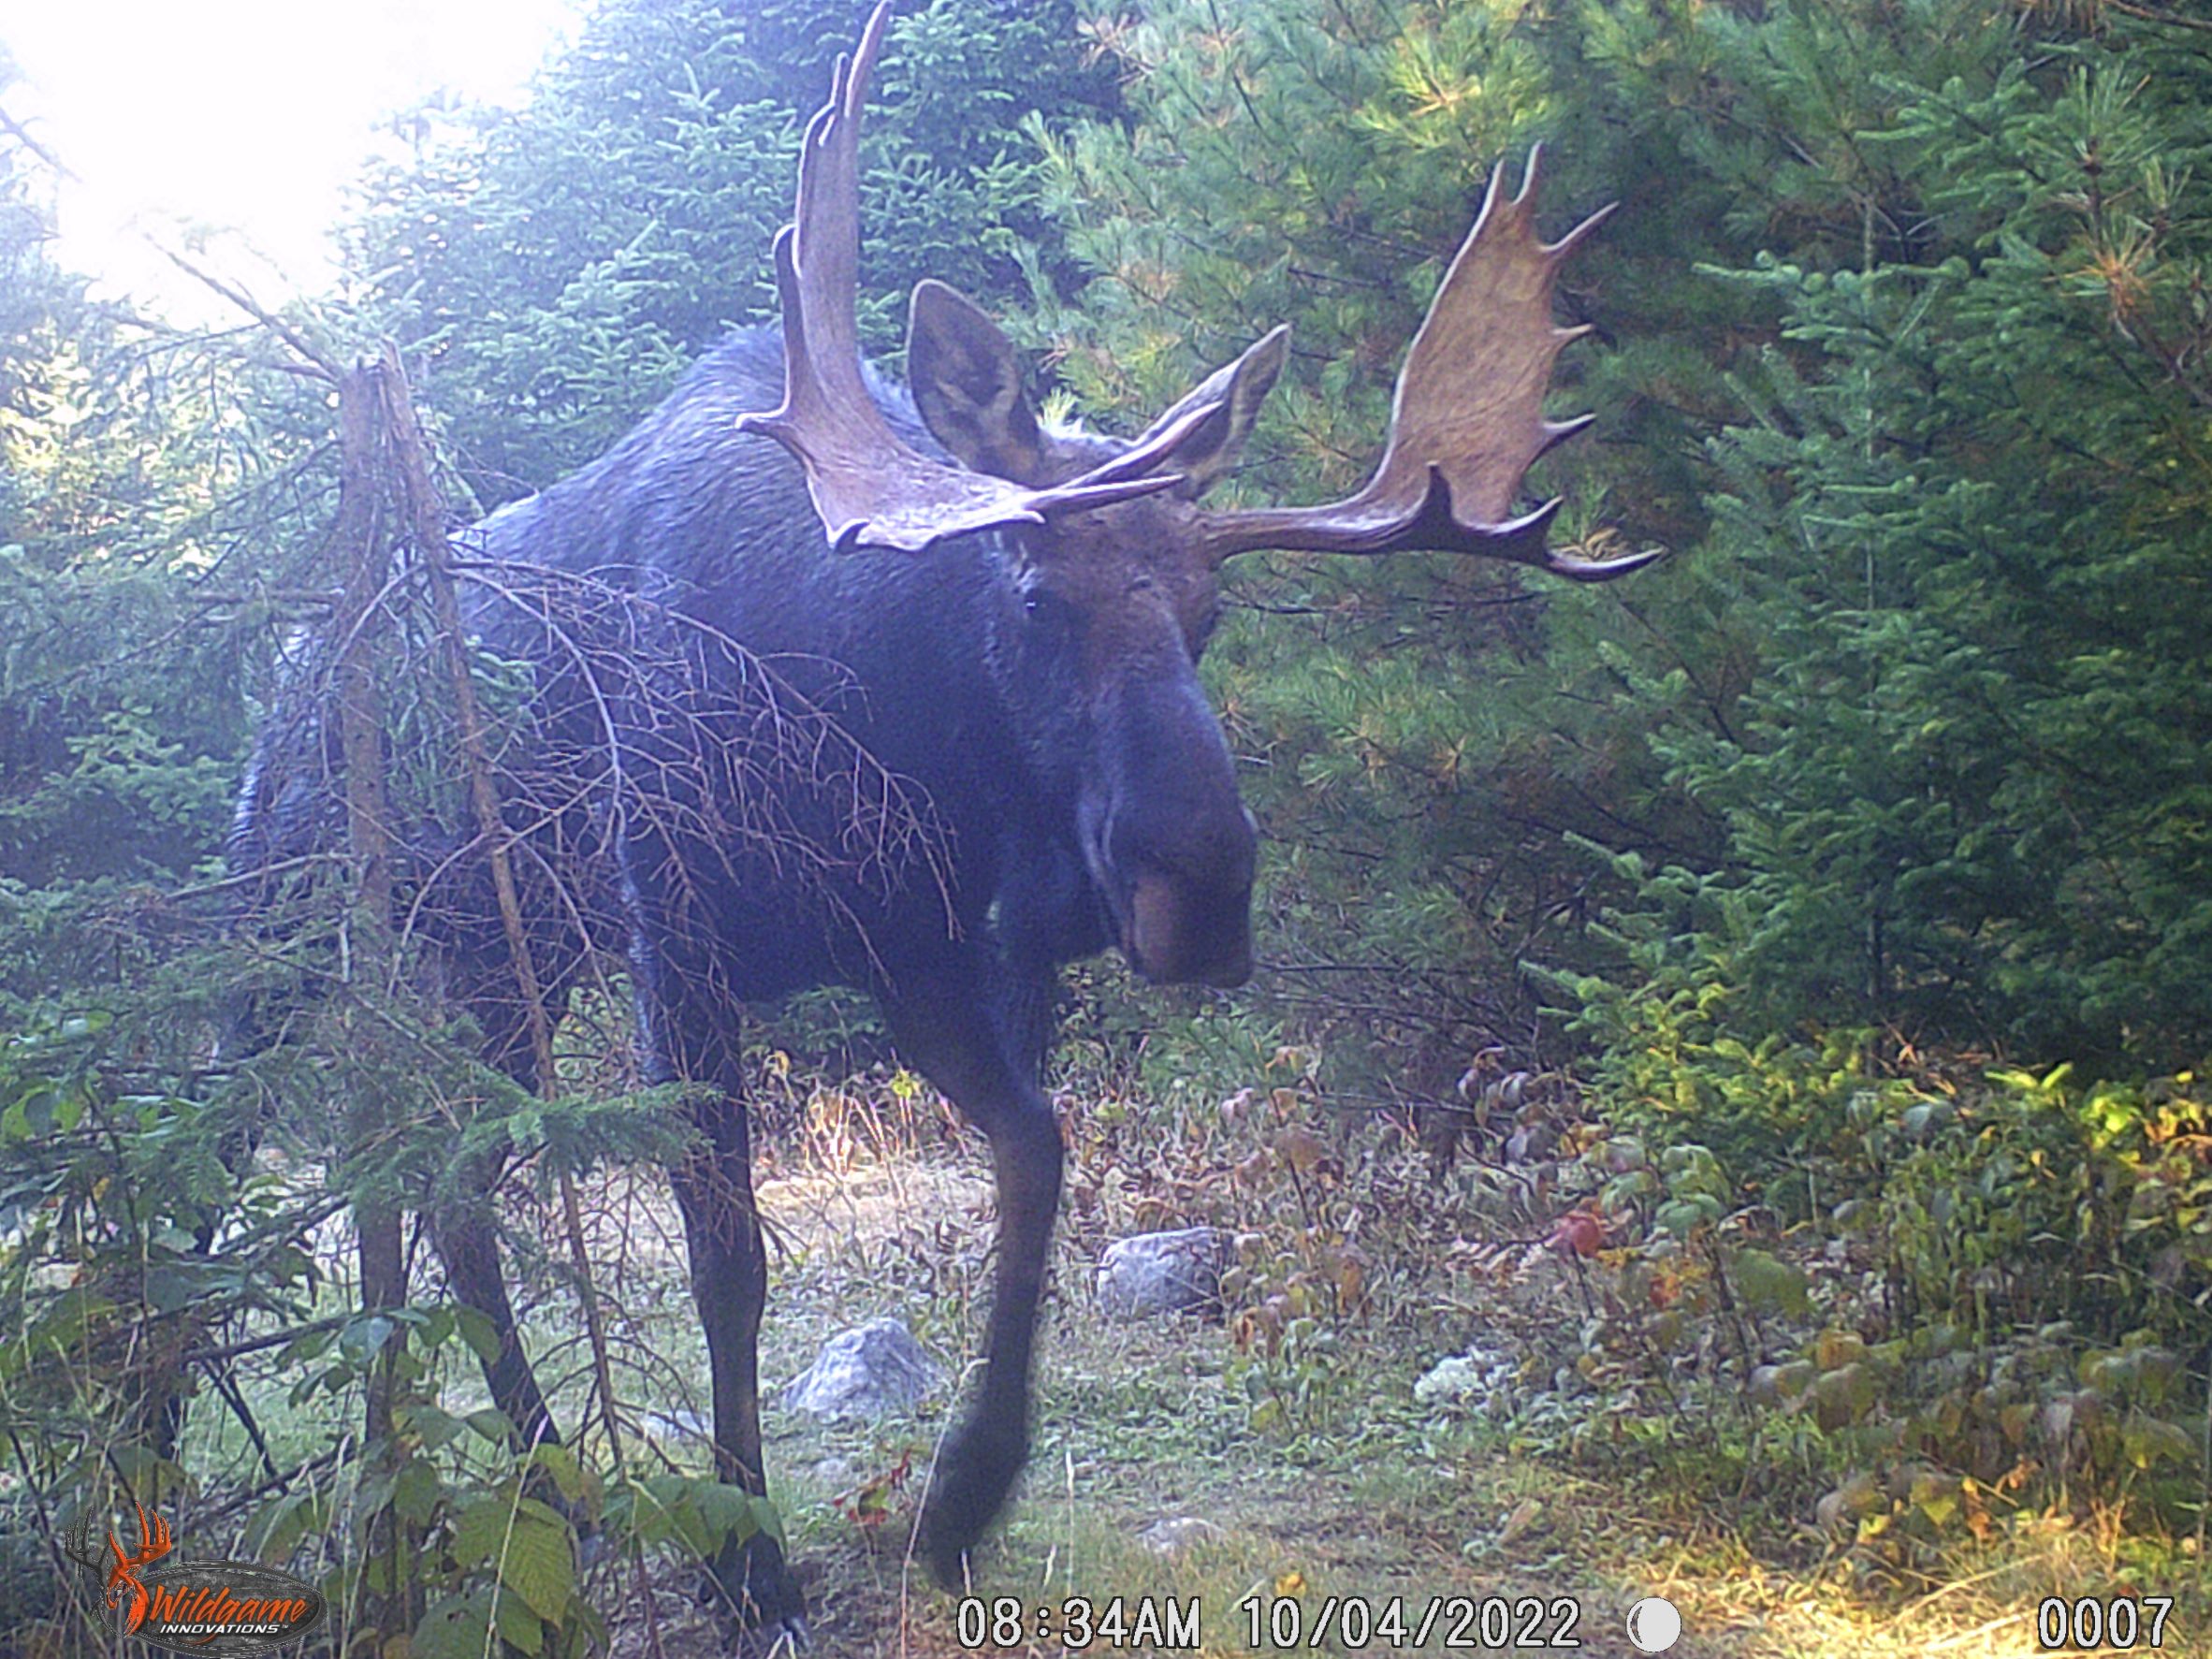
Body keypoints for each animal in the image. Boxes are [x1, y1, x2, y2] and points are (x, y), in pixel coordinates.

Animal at [238, 0, 1663, 1637]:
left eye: (1213, 614)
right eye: (1033, 595)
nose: (1202, 890)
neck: (872, 722)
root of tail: (306, 656)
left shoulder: (914, 951)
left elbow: (1038, 1151)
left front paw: (966, 1492)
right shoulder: (683, 944)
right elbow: (728, 1260)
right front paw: (749, 1563)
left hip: (498, 957)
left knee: (454, 1189)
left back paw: (551, 1482)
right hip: (285, 925)